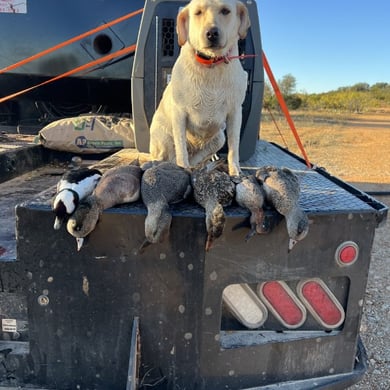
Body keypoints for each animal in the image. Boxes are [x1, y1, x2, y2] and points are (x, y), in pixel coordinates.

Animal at [148, 0, 251, 175]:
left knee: (197, 158)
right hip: (163, 137)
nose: (212, 33)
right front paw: (182, 169)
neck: (211, 64)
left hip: (219, 138)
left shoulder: (235, 112)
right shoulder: (179, 113)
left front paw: (235, 171)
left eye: (225, 11)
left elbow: (234, 149)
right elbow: (181, 149)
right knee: (167, 157)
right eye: (198, 12)